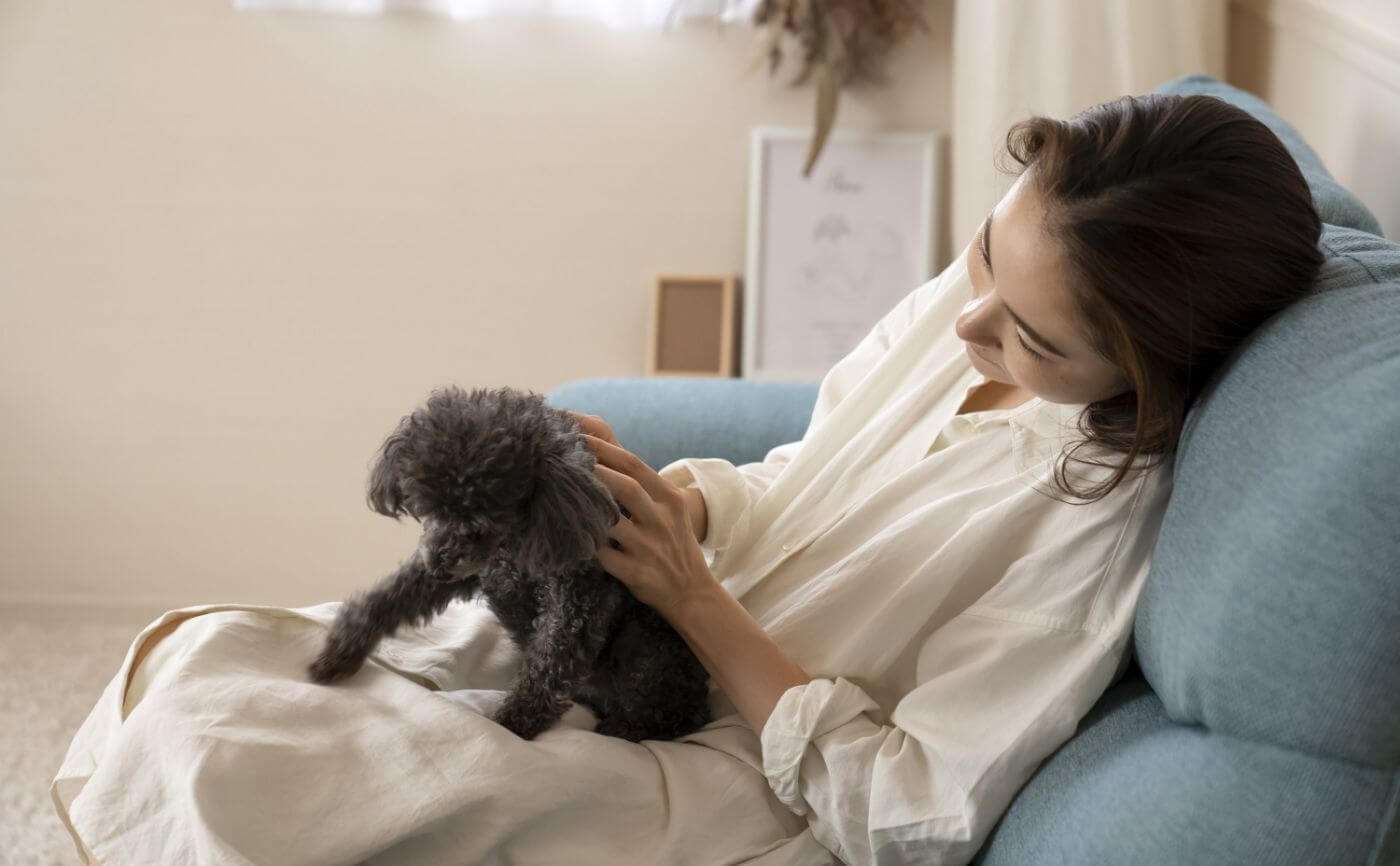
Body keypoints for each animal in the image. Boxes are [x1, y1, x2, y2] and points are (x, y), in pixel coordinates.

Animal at [310, 386, 716, 744]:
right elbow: (392, 596)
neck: (518, 539)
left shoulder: (579, 599)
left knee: (685, 714)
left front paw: (511, 724)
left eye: (482, 521)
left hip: (646, 645)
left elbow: (550, 663)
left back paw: (629, 728)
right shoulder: (475, 569)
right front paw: (341, 649)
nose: (438, 563)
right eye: (427, 508)